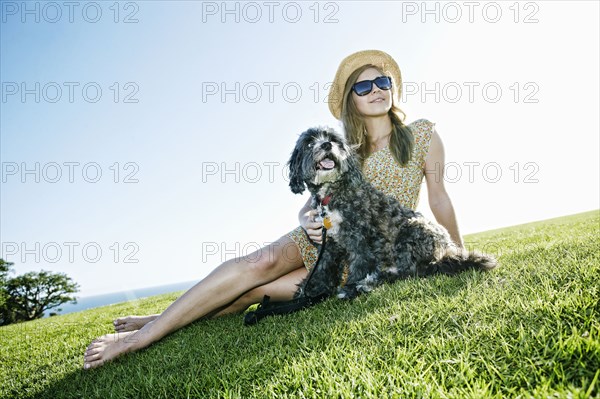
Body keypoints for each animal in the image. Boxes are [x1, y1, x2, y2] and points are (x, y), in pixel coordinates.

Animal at [288, 126, 500, 302]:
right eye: (309, 143)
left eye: (334, 140)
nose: (326, 145)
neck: (331, 193)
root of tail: (445, 250)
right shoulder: (329, 244)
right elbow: (323, 266)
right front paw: (312, 290)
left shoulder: (359, 238)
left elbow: (359, 263)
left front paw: (351, 289)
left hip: (411, 231)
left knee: (411, 272)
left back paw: (371, 282)